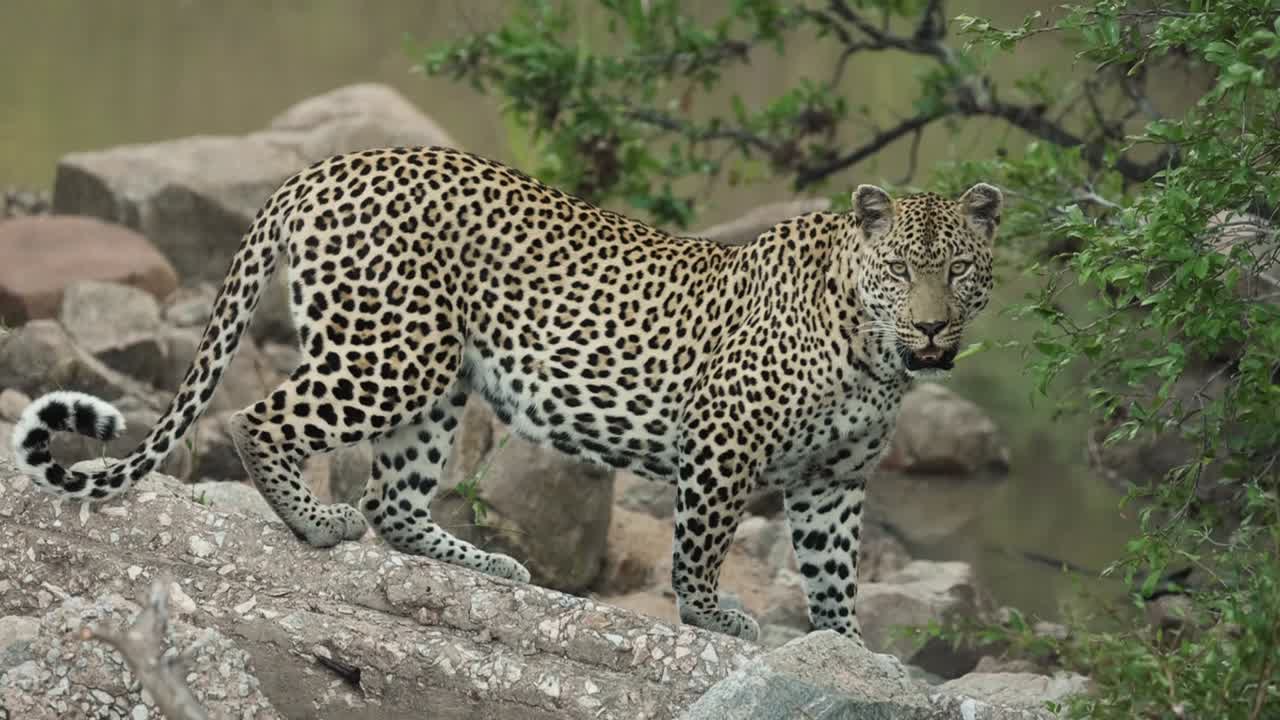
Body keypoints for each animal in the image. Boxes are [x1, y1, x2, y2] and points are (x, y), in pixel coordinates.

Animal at [10, 146, 1001, 642]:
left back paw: (484, 565)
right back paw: (315, 522)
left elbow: (835, 577)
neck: (872, 356)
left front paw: (847, 650)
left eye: (959, 272)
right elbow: (700, 548)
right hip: (393, 353)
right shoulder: (724, 443)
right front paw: (715, 616)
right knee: (261, 419)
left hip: (441, 379)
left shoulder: (835, 482)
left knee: (394, 498)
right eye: (900, 270)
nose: (931, 331)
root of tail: (324, 167)